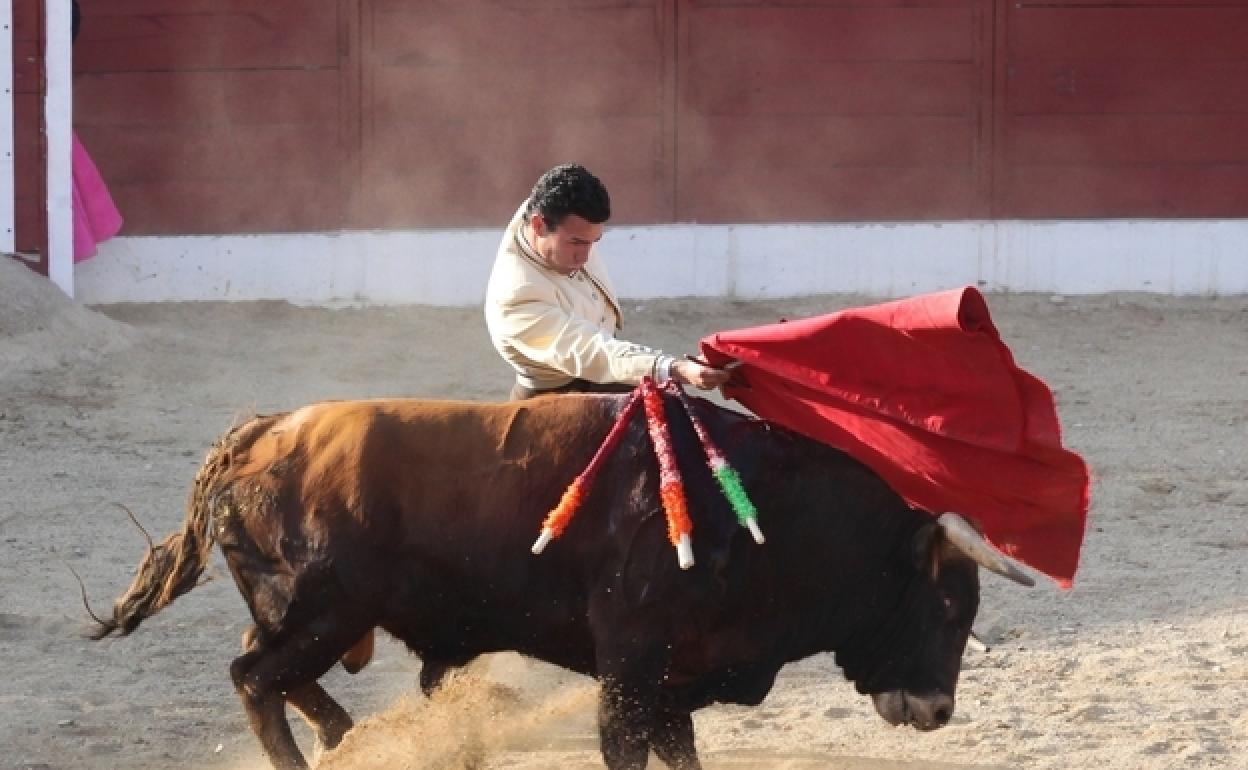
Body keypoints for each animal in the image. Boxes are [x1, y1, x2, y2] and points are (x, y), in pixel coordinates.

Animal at [92, 394, 1033, 768]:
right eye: (951, 601)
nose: (939, 711)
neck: (762, 513)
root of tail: (262, 432)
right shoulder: (631, 661)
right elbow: (624, 747)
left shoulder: (673, 676)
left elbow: (678, 751)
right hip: (319, 611)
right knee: (255, 678)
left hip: (307, 615)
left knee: (279, 679)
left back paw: (349, 741)